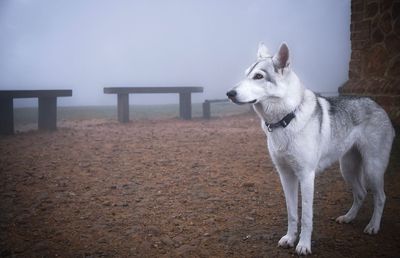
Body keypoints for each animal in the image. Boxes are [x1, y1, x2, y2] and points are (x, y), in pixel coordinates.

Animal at [227, 42, 396, 256]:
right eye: (246, 74)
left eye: (258, 76)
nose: (229, 93)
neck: (286, 119)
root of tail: (377, 105)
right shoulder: (286, 175)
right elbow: (292, 213)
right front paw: (289, 239)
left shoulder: (306, 176)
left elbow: (307, 216)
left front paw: (303, 245)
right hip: (347, 169)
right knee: (360, 194)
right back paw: (348, 218)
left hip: (372, 169)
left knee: (380, 197)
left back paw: (373, 226)